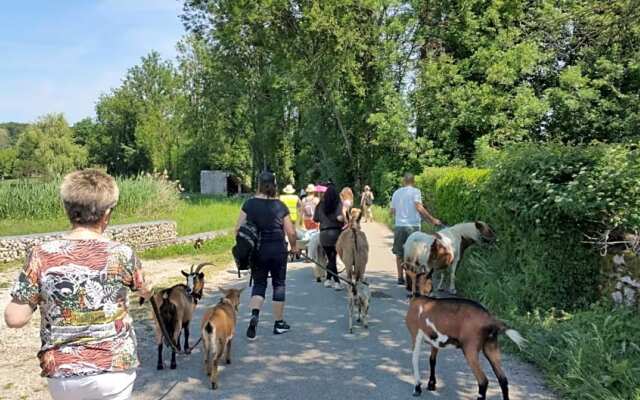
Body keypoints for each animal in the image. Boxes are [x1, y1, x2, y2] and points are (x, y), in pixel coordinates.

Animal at [404, 270, 524, 398]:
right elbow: (432, 360)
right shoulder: (435, 342)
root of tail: (490, 319)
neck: (420, 297)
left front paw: (417, 387)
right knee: (503, 380)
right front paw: (431, 384)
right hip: (491, 348)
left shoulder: (415, 335)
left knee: (483, 381)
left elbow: (415, 359)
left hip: (470, 350)